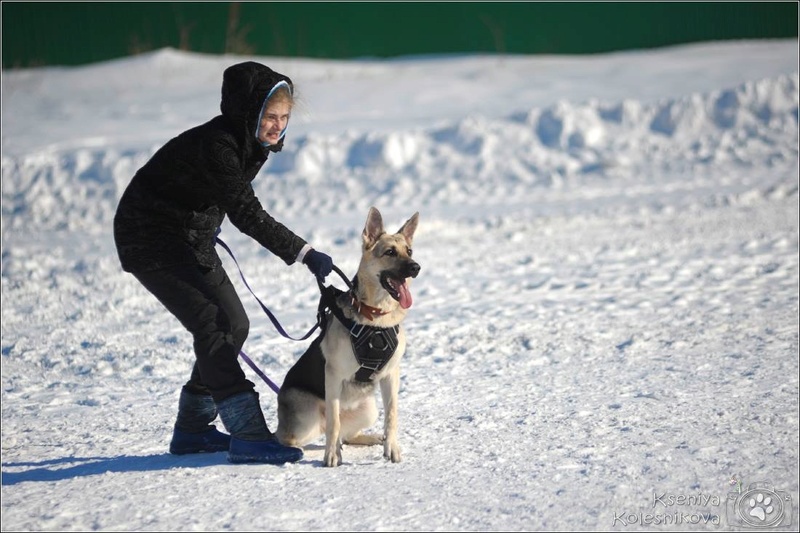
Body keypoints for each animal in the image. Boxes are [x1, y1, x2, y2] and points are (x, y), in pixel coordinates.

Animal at [276, 206, 418, 464]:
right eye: (390, 252)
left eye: (409, 251)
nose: (416, 267)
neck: (376, 317)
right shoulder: (333, 376)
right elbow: (334, 421)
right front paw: (332, 455)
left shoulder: (391, 375)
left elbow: (392, 415)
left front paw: (391, 447)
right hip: (306, 418)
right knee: (299, 434)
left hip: (368, 409)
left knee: (348, 434)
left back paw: (371, 438)